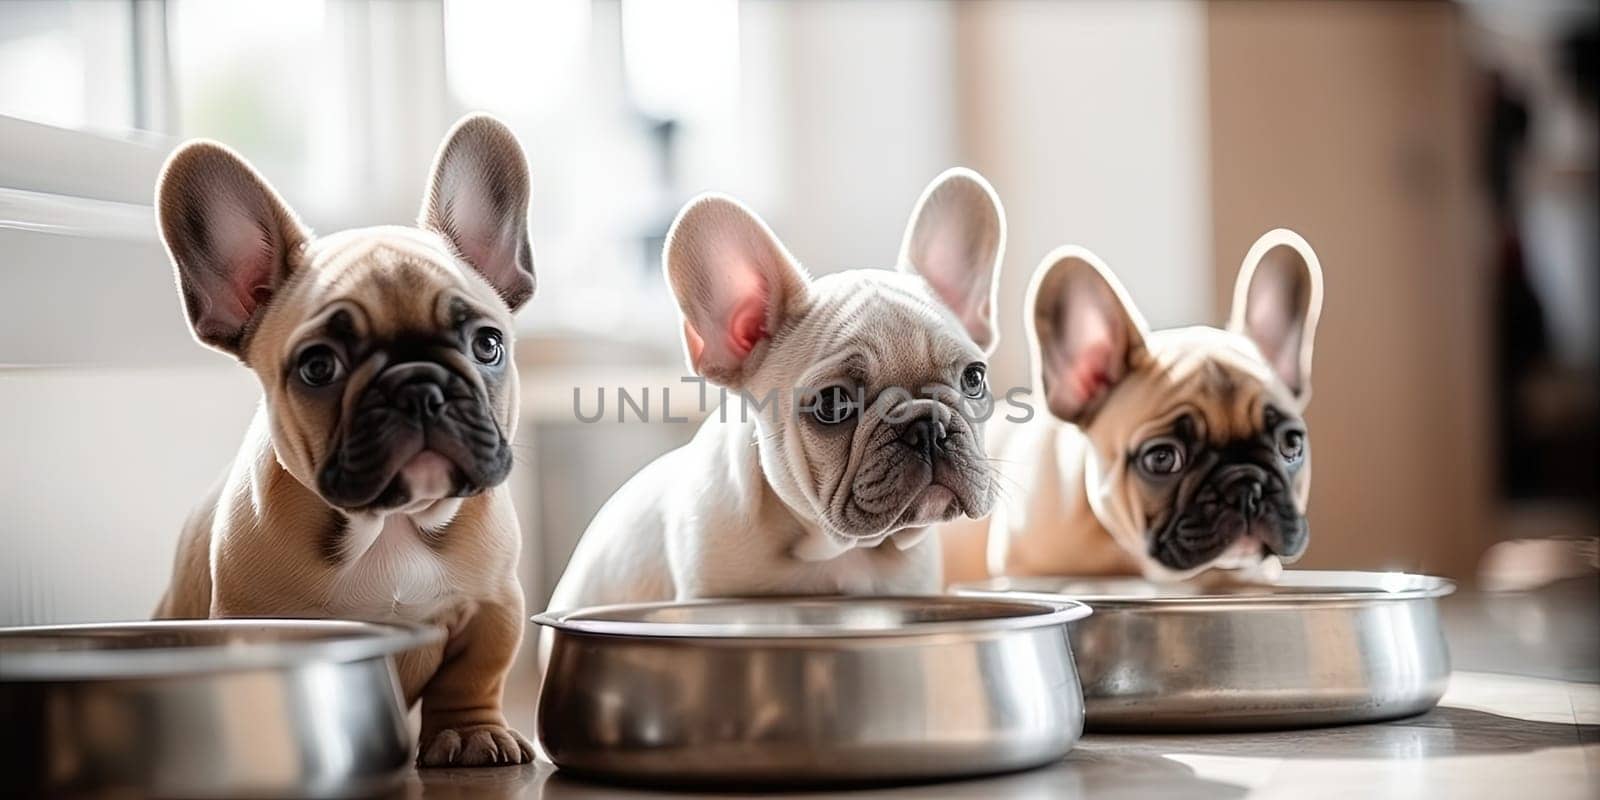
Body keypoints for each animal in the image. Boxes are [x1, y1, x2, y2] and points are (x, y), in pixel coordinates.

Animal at [158, 114, 540, 768]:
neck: (391, 524)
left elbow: (474, 675)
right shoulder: (253, 620)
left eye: (487, 345)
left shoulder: (495, 606)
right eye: (319, 367)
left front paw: (470, 732)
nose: (418, 387)